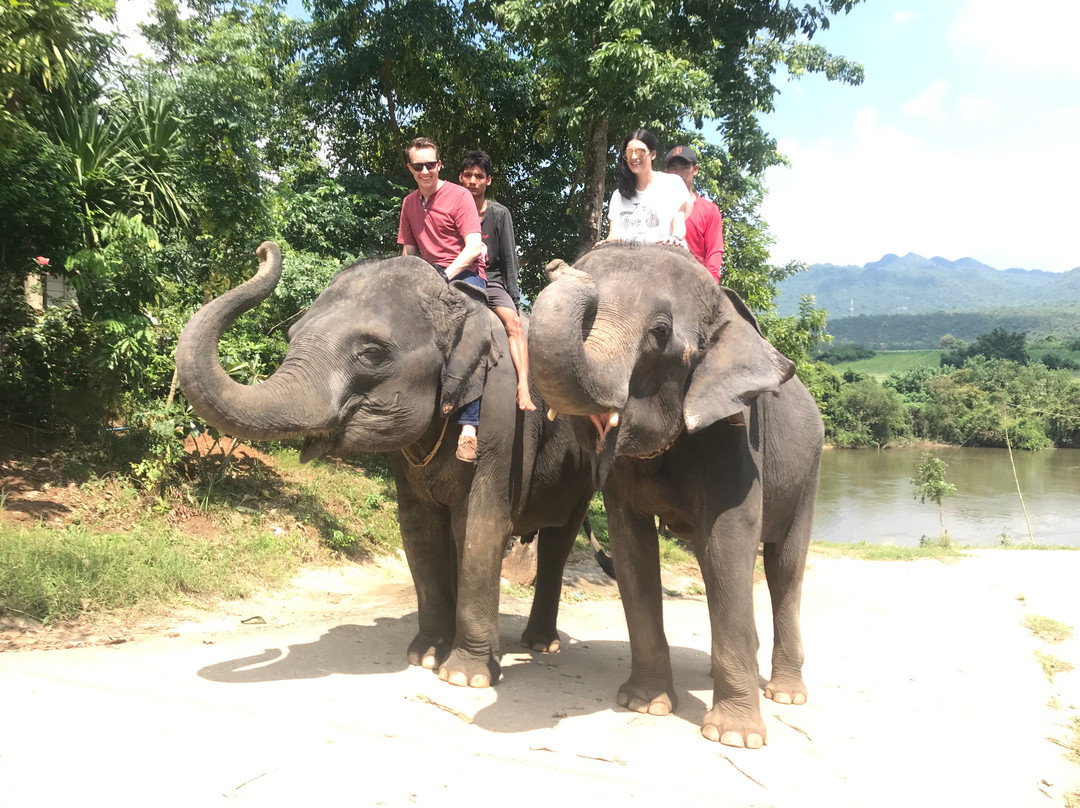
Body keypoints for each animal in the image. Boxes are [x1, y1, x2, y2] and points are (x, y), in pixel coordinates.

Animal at [176, 242, 594, 688]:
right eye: (291, 336)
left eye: (372, 353)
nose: (263, 249)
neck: (460, 306)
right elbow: (418, 530)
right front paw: (425, 656)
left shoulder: (503, 421)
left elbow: (482, 528)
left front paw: (465, 677)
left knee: (558, 544)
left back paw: (540, 644)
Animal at [527, 243, 824, 748]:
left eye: (660, 334)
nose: (558, 268)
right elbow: (632, 548)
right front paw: (644, 704)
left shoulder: (737, 435)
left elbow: (728, 540)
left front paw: (734, 738)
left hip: (809, 473)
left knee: (784, 566)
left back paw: (785, 695)